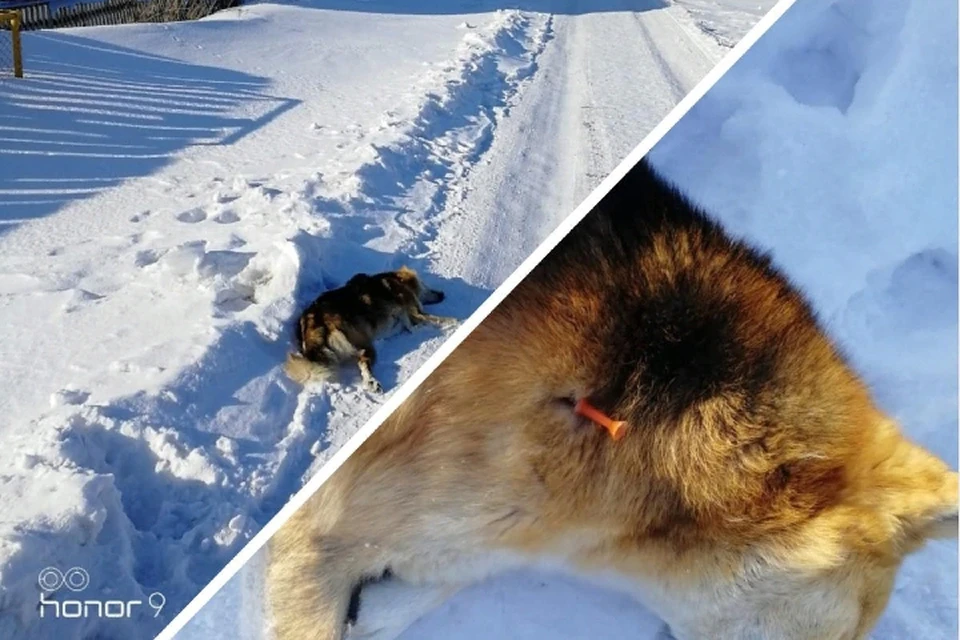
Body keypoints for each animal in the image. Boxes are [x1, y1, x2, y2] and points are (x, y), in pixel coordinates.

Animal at [284, 268, 456, 392]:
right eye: (426, 285)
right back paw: (372, 381)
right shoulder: (416, 313)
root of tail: (313, 318)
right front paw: (455, 322)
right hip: (362, 342)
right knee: (363, 361)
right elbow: (440, 319)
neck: (394, 280)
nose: (442, 294)